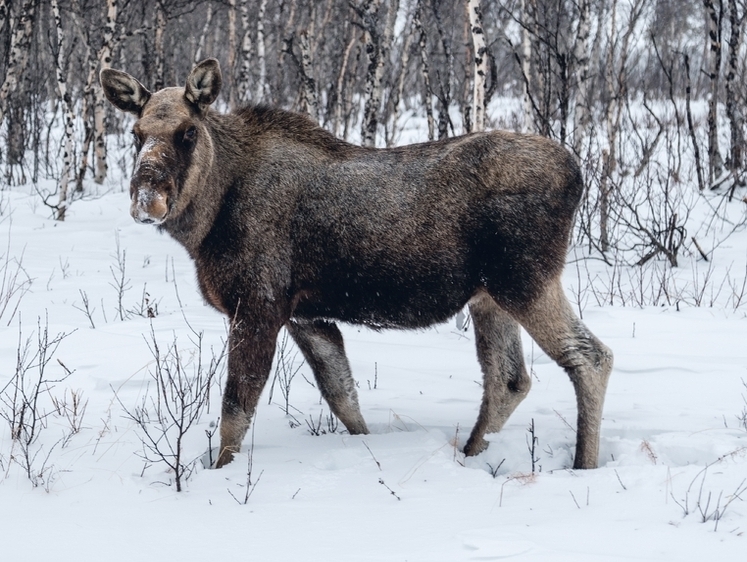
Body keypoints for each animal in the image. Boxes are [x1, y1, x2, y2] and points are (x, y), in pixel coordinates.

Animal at [99, 58, 612, 468]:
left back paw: (583, 464)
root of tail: (578, 173)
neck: (208, 220)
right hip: (489, 297)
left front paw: (217, 472)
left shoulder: (258, 304)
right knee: (509, 380)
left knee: (590, 357)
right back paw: (470, 454)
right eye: (137, 134)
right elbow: (344, 397)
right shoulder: (307, 315)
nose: (147, 200)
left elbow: (235, 411)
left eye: (188, 132)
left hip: (525, 280)